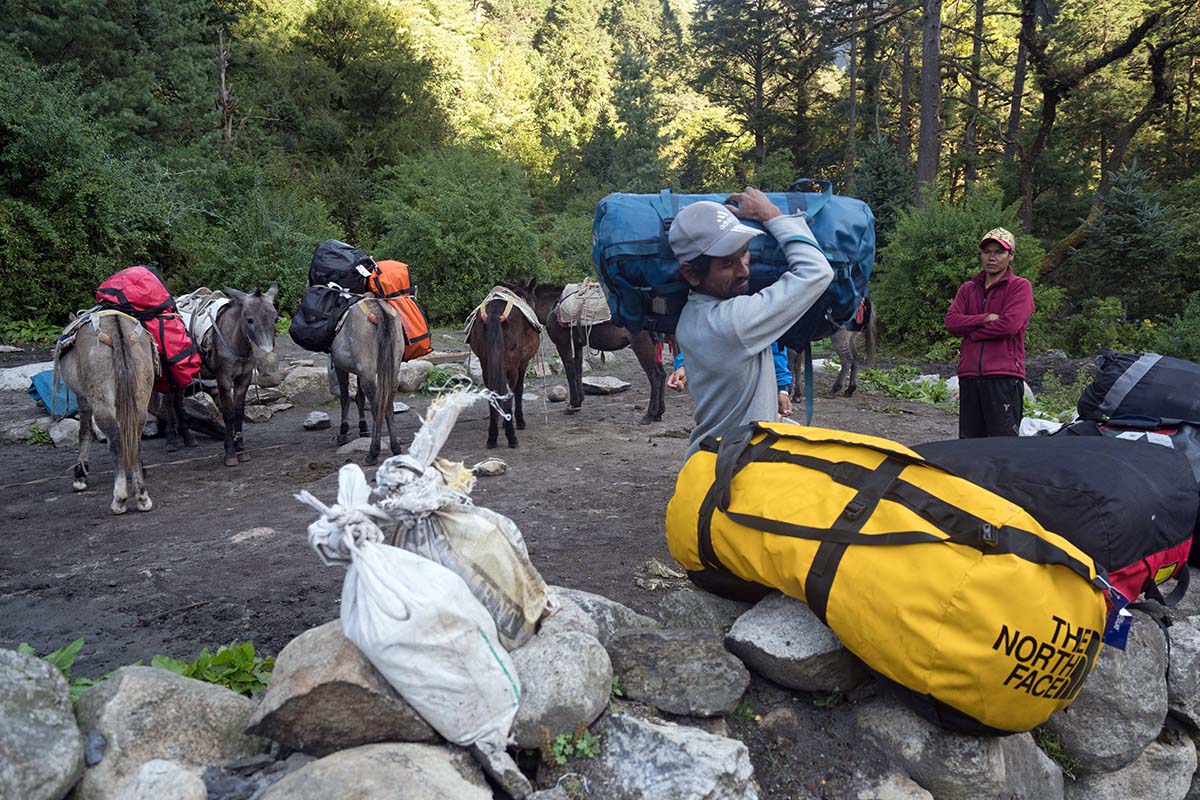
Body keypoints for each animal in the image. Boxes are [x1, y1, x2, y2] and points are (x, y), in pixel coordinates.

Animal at [55, 309, 157, 515]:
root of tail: (117, 332)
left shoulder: (82, 398)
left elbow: (84, 432)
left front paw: (80, 475)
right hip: (140, 397)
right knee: (135, 439)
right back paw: (142, 496)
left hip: (101, 400)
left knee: (115, 440)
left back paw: (120, 498)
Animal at [333, 298, 403, 462]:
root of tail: (380, 312)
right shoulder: (359, 372)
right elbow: (359, 397)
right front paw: (362, 427)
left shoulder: (340, 367)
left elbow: (345, 397)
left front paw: (343, 431)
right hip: (391, 367)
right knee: (388, 401)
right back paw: (395, 447)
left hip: (367, 368)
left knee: (376, 406)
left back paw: (373, 451)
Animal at [465, 289, 542, 450]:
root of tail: (494, 313)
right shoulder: (522, 364)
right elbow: (518, 391)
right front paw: (519, 421)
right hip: (512, 368)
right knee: (509, 395)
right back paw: (511, 437)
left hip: (486, 366)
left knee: (492, 394)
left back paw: (492, 437)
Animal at [530, 281, 672, 422]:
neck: (552, 307)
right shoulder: (578, 346)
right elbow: (578, 373)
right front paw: (578, 403)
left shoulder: (564, 345)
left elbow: (570, 374)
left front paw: (572, 405)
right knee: (662, 375)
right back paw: (659, 413)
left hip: (642, 346)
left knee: (655, 376)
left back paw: (650, 414)